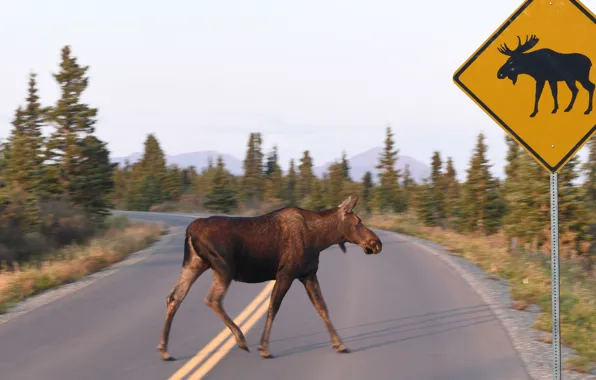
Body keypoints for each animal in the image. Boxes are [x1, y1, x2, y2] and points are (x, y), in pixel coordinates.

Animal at [157, 196, 382, 360]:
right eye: (358, 221)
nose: (376, 243)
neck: (320, 238)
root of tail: (189, 231)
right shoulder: (286, 273)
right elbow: (273, 307)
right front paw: (264, 347)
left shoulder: (308, 274)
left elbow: (322, 307)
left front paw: (339, 343)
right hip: (223, 268)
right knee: (212, 299)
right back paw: (241, 339)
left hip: (194, 263)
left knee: (174, 297)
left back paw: (164, 349)